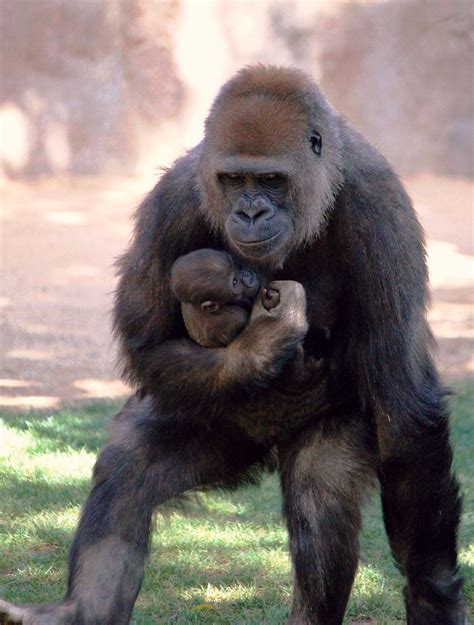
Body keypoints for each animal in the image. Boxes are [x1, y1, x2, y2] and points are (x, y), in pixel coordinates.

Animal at [0, 66, 464, 620]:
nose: (250, 214)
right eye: (233, 180)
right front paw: (258, 350)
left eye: (271, 181)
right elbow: (148, 344)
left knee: (322, 498)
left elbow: (404, 405)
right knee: (129, 466)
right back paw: (80, 610)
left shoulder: (381, 209)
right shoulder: (173, 200)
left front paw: (430, 589)